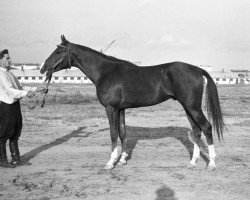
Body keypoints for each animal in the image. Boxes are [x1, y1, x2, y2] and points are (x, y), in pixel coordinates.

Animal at [40, 34, 225, 170]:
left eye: (58, 52)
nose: (42, 68)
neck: (106, 72)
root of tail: (198, 69)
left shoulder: (111, 108)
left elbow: (113, 133)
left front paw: (110, 162)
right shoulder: (121, 109)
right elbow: (123, 133)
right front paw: (122, 160)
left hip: (192, 107)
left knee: (207, 127)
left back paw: (211, 164)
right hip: (188, 108)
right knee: (196, 131)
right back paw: (193, 162)